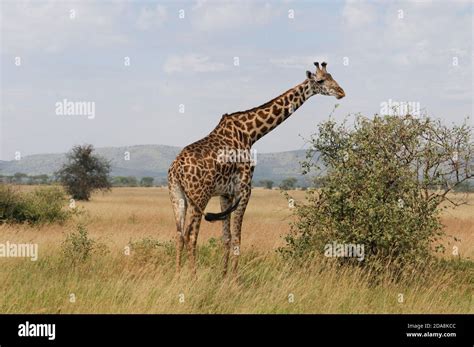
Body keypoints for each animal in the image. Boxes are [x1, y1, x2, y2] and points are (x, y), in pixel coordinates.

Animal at [168, 61, 346, 276]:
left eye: (331, 76)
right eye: (320, 81)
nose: (341, 92)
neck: (250, 133)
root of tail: (176, 169)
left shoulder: (225, 193)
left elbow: (226, 238)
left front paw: (223, 276)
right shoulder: (245, 189)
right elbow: (237, 238)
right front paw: (235, 279)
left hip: (178, 197)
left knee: (179, 234)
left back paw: (178, 276)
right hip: (199, 196)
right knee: (190, 236)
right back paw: (192, 277)